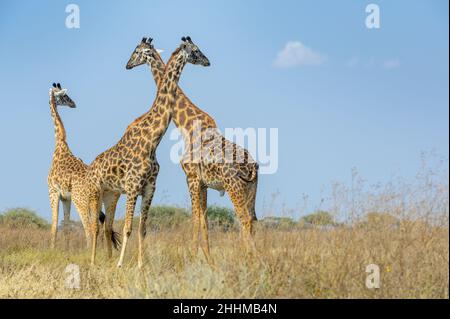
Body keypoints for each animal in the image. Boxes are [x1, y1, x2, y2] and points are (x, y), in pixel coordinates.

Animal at [47, 84, 121, 251]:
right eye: (64, 96)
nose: (73, 104)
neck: (59, 144)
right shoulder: (65, 197)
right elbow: (66, 226)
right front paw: (65, 251)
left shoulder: (53, 191)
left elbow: (54, 226)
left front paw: (52, 250)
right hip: (94, 202)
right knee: (101, 225)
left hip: (80, 201)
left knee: (89, 227)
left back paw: (88, 252)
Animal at [86, 37, 211, 268]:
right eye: (195, 51)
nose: (207, 61)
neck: (152, 142)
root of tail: (90, 169)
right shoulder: (133, 187)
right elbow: (128, 228)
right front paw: (121, 265)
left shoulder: (149, 189)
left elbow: (142, 230)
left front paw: (140, 265)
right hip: (94, 192)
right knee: (94, 226)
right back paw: (93, 262)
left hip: (110, 194)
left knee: (106, 226)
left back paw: (106, 260)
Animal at [126, 37, 260, 264]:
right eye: (196, 50)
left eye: (136, 51)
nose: (127, 64)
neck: (186, 125)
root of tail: (252, 167)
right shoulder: (203, 183)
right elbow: (204, 220)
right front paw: (208, 259)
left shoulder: (191, 178)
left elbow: (195, 219)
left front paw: (191, 257)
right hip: (251, 190)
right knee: (252, 220)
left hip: (234, 187)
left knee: (244, 220)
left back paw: (248, 259)